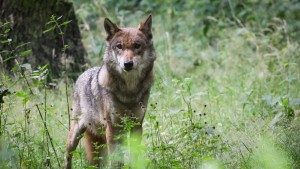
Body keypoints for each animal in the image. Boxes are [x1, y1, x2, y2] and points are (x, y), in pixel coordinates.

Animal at [64, 15, 156, 168]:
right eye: (119, 46)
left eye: (137, 46)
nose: (127, 64)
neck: (129, 91)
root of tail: (83, 74)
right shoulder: (113, 128)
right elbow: (116, 160)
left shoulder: (137, 126)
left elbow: (135, 156)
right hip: (75, 136)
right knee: (67, 156)